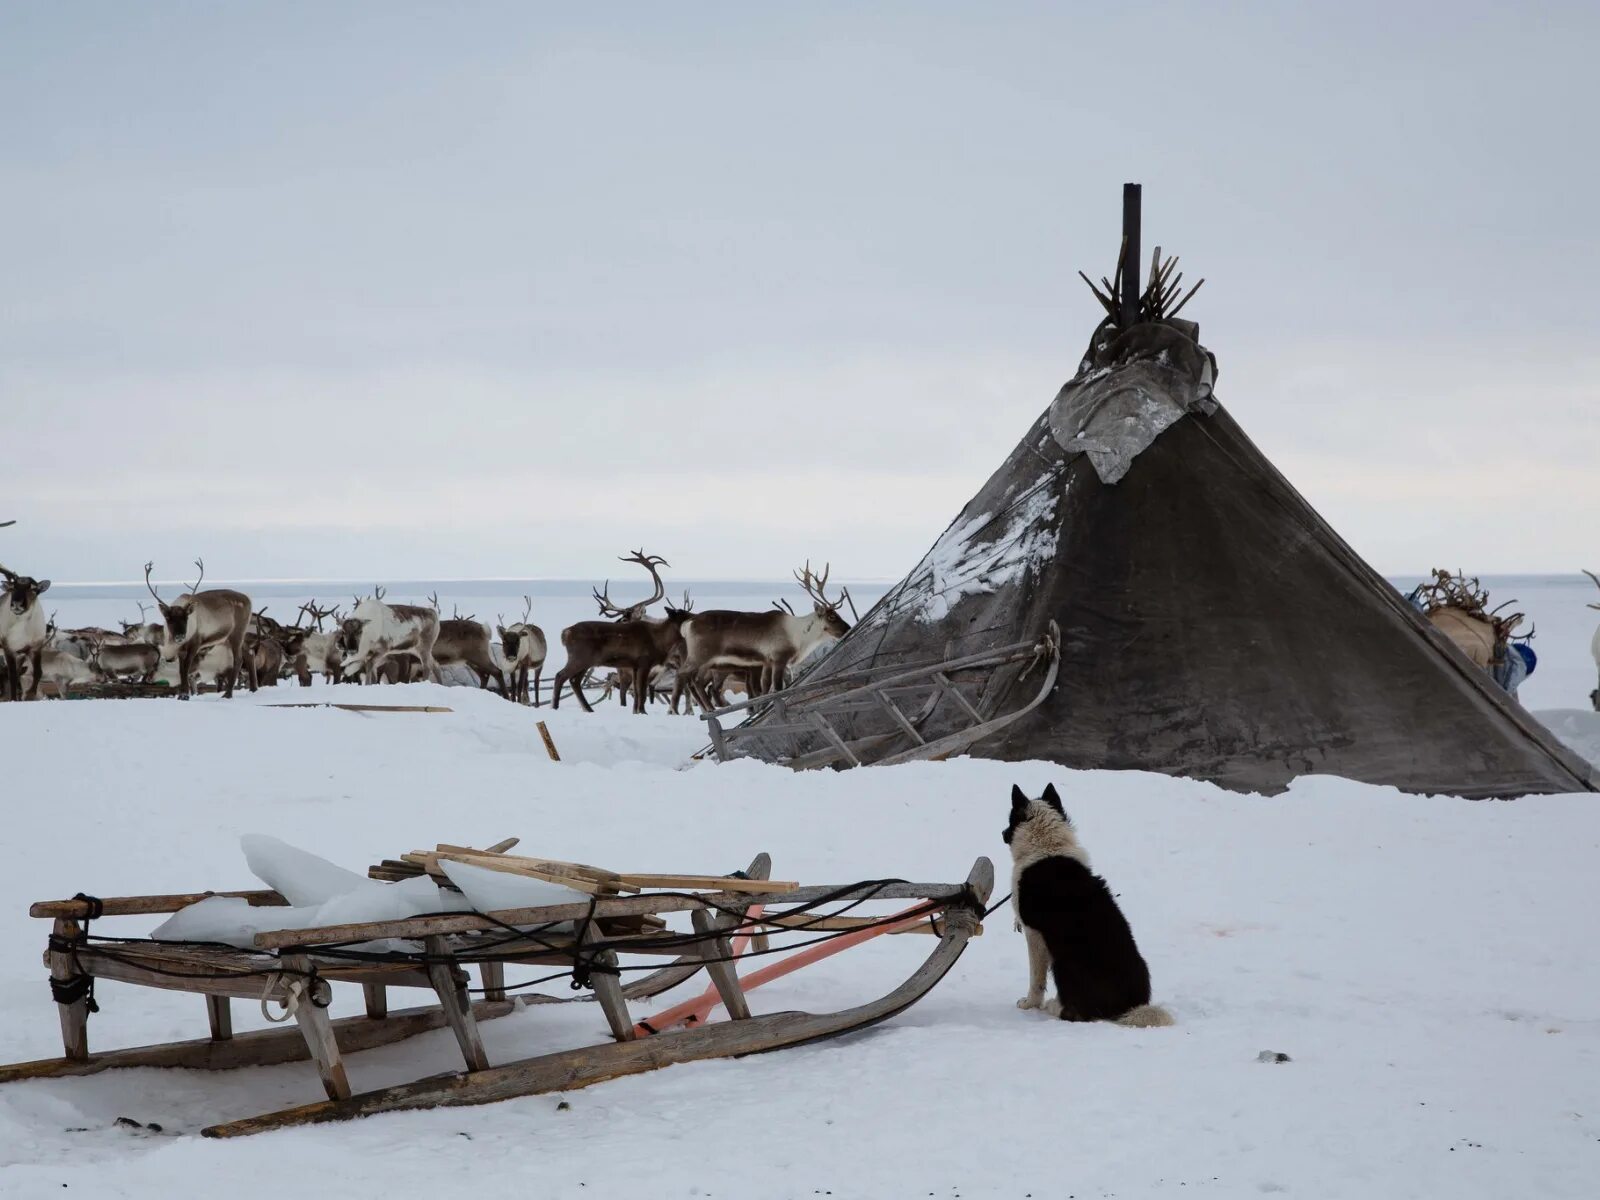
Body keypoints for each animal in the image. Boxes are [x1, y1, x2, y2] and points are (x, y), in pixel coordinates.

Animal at [1004, 784, 1171, 1030]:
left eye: (1010, 819)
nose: (1002, 833)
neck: (1046, 846)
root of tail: (1128, 1008)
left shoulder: (1034, 934)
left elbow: (1036, 979)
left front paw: (1029, 1003)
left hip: (1062, 962)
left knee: (1076, 1013)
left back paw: (1055, 1006)